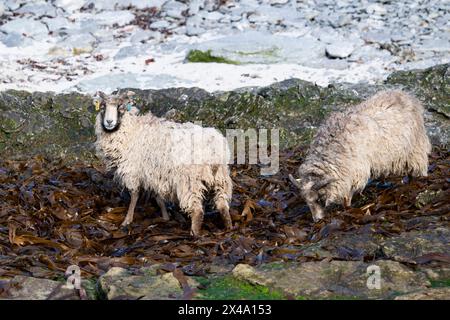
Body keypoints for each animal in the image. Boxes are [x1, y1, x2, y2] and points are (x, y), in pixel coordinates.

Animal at [92, 90, 232, 235]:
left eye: (120, 107)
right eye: (102, 107)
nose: (109, 121)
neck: (131, 131)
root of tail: (213, 150)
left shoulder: (133, 171)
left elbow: (134, 196)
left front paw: (127, 220)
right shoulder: (155, 174)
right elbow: (159, 198)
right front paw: (165, 217)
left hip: (189, 181)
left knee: (197, 210)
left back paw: (195, 233)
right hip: (221, 178)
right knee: (222, 204)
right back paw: (228, 227)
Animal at [290, 89, 430, 221]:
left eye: (319, 198)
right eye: (307, 201)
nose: (317, 220)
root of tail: (404, 93)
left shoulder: (354, 173)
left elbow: (348, 196)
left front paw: (347, 208)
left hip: (416, 148)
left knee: (420, 167)